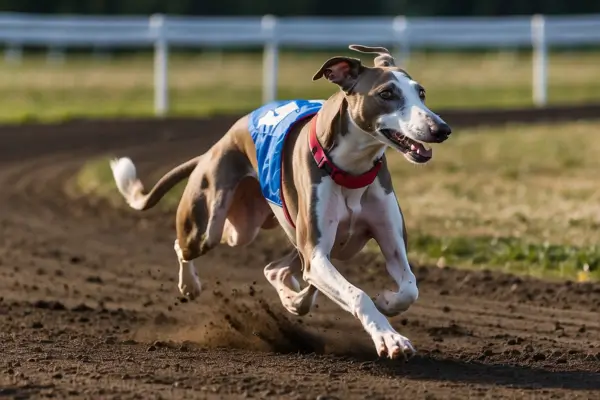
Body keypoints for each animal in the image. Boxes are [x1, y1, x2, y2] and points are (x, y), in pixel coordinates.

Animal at [110, 44, 452, 360]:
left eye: (421, 93)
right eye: (386, 93)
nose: (441, 129)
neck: (351, 170)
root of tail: (218, 145)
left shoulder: (387, 241)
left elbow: (409, 287)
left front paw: (387, 300)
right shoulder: (316, 253)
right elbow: (357, 295)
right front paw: (390, 339)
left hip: (256, 230)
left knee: (274, 269)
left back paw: (293, 297)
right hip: (214, 224)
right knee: (185, 246)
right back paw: (191, 285)